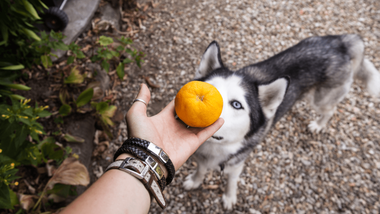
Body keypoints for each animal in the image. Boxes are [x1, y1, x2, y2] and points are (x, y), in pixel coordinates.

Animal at [182, 34, 380, 210]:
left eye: (237, 104)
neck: (215, 149)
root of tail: (342, 42)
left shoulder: (236, 164)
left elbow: (232, 182)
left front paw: (229, 198)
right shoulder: (200, 158)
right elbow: (201, 170)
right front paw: (195, 181)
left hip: (320, 100)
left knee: (330, 110)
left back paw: (318, 125)